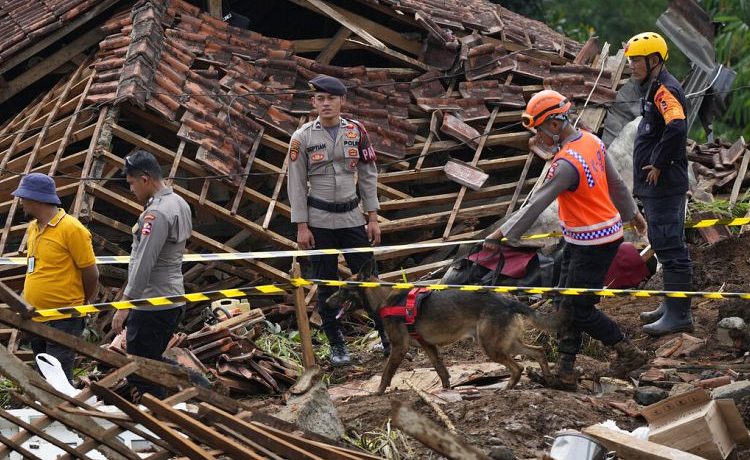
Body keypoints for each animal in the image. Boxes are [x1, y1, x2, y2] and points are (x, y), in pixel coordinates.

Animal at [326, 260, 560, 394]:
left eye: (343, 289)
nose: (326, 302)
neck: (384, 297)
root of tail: (509, 302)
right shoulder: (427, 346)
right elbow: (440, 369)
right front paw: (446, 388)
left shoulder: (399, 348)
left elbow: (386, 373)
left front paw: (378, 392)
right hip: (506, 343)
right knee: (538, 351)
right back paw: (548, 379)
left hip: (491, 346)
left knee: (518, 367)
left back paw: (509, 387)